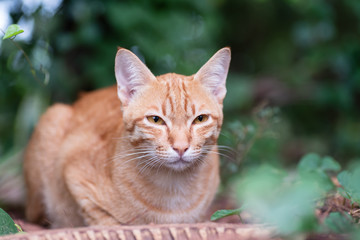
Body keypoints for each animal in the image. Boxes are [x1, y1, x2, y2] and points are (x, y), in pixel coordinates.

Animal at [23, 46, 231, 227]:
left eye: (200, 119)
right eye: (155, 120)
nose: (181, 147)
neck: (174, 189)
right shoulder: (73, 170)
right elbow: (102, 219)